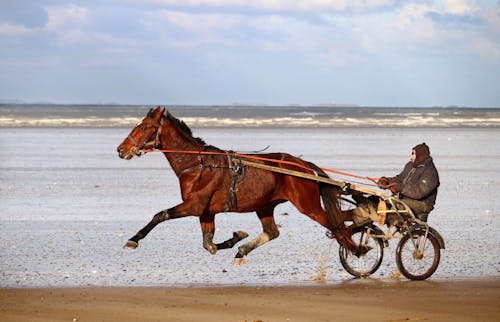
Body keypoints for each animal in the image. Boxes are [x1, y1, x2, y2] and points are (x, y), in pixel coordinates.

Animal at [117, 106, 360, 266]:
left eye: (144, 127)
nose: (121, 149)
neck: (198, 164)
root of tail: (303, 165)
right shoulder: (206, 211)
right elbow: (209, 244)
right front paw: (236, 239)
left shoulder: (194, 205)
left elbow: (160, 215)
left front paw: (133, 239)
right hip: (264, 205)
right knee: (272, 232)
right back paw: (242, 250)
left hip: (308, 205)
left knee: (336, 225)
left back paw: (358, 248)